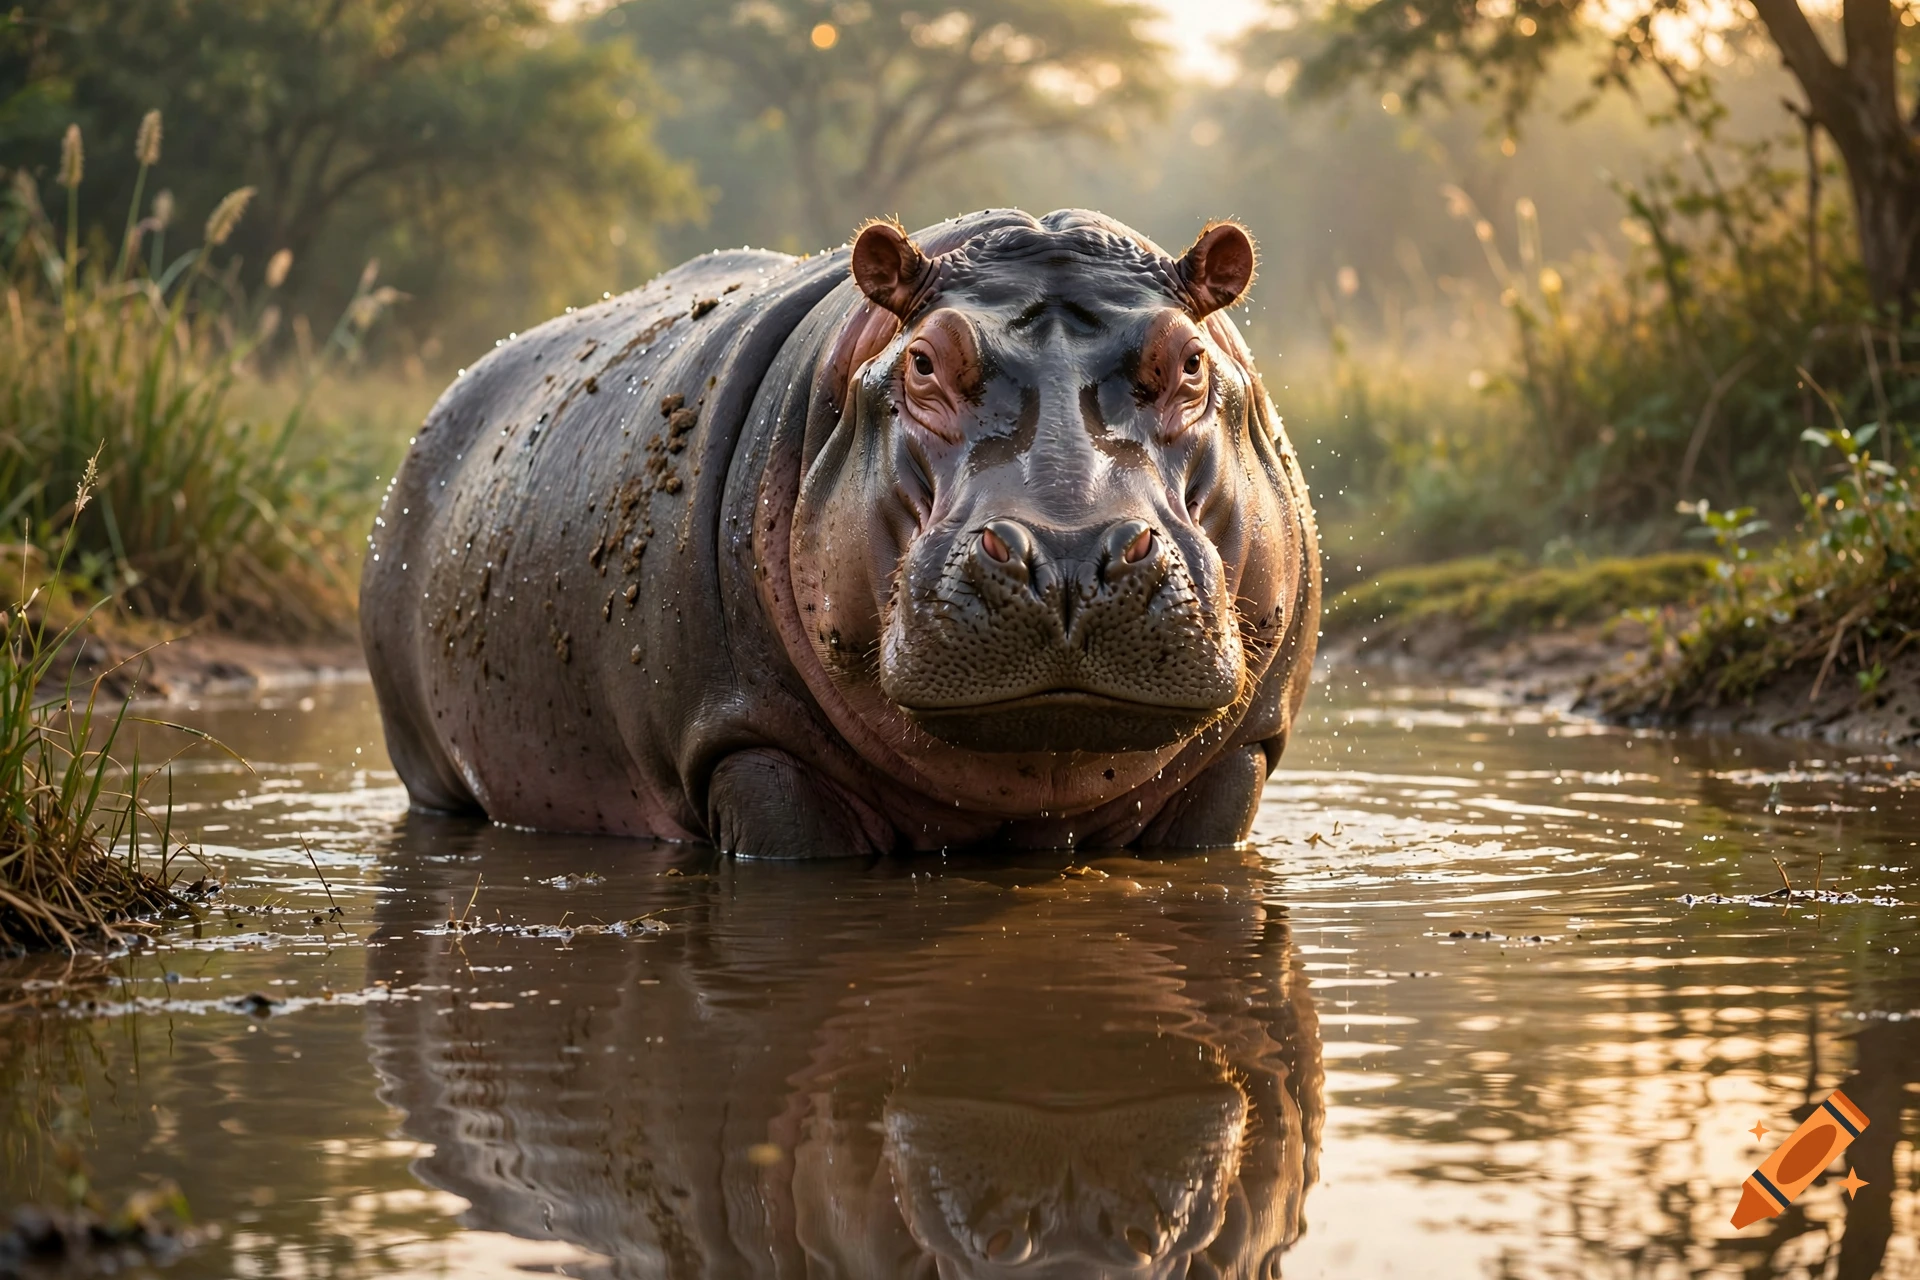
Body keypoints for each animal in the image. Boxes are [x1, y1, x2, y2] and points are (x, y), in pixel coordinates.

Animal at [361, 209, 1320, 855]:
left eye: (1190, 360)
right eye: (924, 361)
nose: (1069, 552)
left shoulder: (1237, 762)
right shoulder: (753, 748)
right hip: (428, 769)